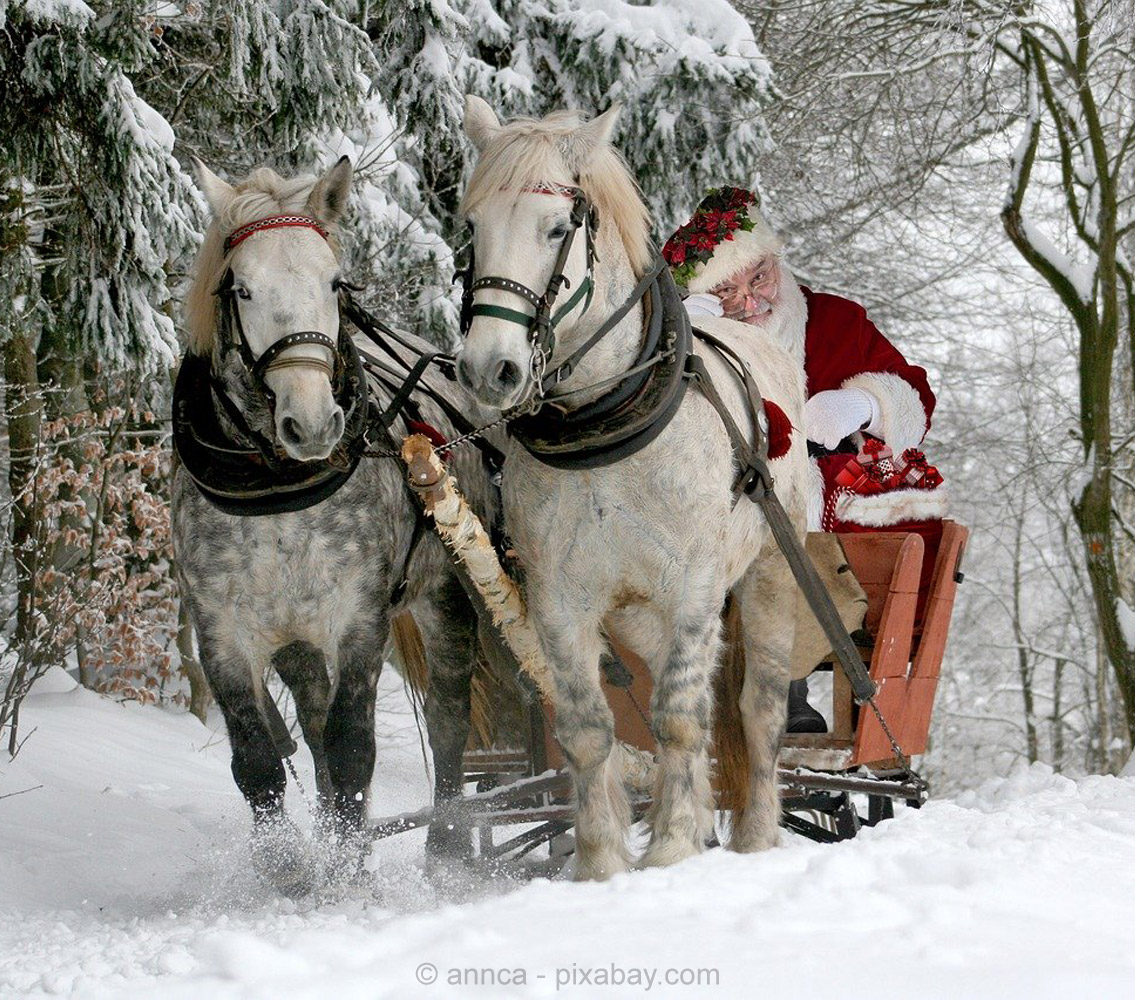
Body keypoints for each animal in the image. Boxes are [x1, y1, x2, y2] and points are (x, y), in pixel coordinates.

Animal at [456, 97, 812, 876]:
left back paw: (755, 835)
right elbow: (589, 729)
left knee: (757, 709)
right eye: (472, 227)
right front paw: (601, 863)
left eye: (557, 228)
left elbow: (678, 718)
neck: (604, 427)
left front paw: (672, 848)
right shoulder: (559, 600)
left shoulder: (694, 587)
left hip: (771, 575)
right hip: (639, 616)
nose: (488, 369)